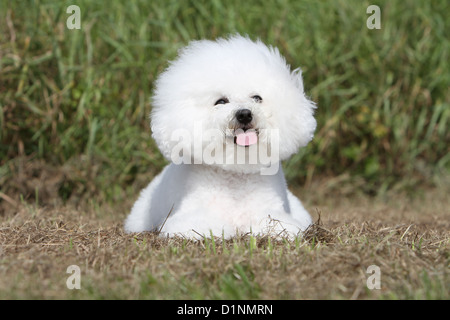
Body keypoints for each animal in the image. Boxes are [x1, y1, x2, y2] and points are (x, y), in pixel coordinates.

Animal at [125, 36, 318, 239]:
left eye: (257, 98)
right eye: (221, 101)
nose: (244, 114)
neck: (235, 176)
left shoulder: (270, 213)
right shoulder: (190, 219)